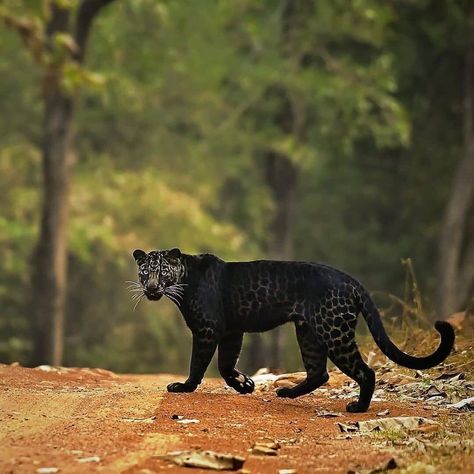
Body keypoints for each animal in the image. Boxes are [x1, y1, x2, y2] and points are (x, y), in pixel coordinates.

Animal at [131, 248, 456, 412]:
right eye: (145, 272)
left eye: (162, 271)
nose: (151, 288)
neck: (184, 280)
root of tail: (350, 280)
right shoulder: (232, 331)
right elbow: (225, 364)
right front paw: (245, 384)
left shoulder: (208, 330)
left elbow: (199, 363)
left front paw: (184, 387)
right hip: (309, 333)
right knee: (319, 372)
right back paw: (288, 393)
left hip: (333, 332)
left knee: (365, 371)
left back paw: (358, 407)